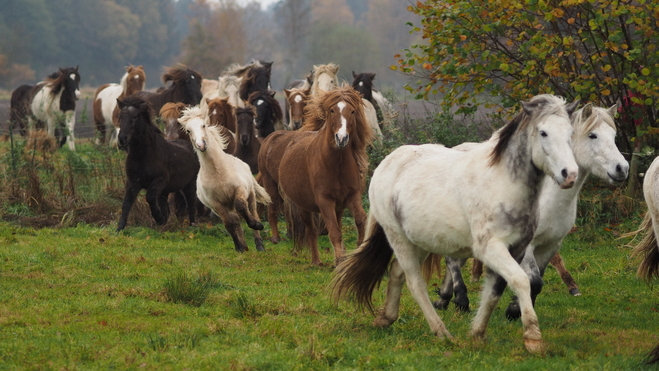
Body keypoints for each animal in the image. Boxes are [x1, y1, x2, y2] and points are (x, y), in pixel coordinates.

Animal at [116, 95, 200, 232]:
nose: (122, 139)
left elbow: (149, 197)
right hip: (166, 191)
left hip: (189, 185)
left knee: (191, 204)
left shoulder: (159, 180)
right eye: (120, 116)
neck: (143, 157)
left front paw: (159, 218)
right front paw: (119, 228)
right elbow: (126, 204)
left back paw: (193, 226)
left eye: (135, 116)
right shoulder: (133, 182)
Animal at [178, 106, 270, 254]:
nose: (201, 145)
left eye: (203, 125)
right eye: (188, 130)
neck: (219, 173)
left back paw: (259, 244)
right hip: (226, 205)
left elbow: (240, 205)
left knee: (252, 212)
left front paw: (256, 225)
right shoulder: (215, 204)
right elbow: (229, 223)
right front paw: (239, 247)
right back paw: (244, 246)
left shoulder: (240, 190)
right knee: (235, 219)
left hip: (250, 196)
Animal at [260, 86, 378, 268]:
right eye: (332, 110)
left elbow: (360, 221)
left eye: (352, 111)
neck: (336, 164)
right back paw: (315, 260)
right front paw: (339, 260)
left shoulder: (352, 196)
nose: (341, 138)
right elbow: (334, 232)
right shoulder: (325, 200)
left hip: (337, 206)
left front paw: (357, 249)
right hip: (300, 203)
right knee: (311, 230)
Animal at [332, 93, 580, 354]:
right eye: (543, 132)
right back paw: (442, 333)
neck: (502, 183)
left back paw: (386, 318)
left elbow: (495, 291)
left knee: (397, 273)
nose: (570, 175)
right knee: (414, 282)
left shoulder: (517, 249)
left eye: (570, 133)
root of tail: (387, 162)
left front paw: (477, 334)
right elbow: (521, 281)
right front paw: (533, 339)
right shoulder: (491, 248)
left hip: (419, 241)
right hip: (397, 237)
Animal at [436, 102, 632, 316]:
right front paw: (514, 311)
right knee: (452, 260)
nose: (622, 168)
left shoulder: (550, 245)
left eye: (613, 136)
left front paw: (517, 308)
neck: (548, 200)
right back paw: (461, 300)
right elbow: (535, 280)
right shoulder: (527, 245)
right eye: (593, 135)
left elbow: (538, 280)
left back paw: (444, 299)